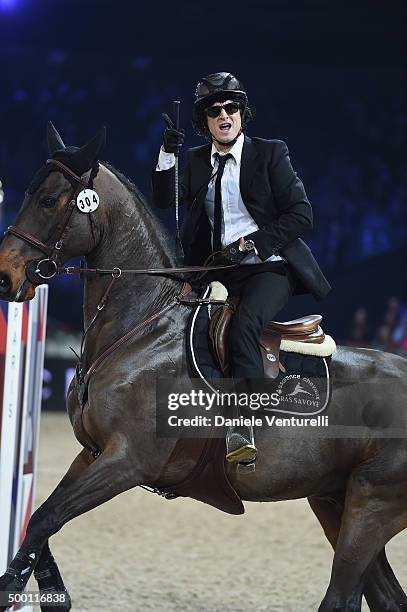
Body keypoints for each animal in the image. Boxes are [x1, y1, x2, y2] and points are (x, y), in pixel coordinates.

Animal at [0, 122, 406, 608]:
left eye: (48, 200)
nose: (5, 276)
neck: (142, 327)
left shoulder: (125, 461)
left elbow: (46, 519)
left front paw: (15, 587)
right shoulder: (91, 453)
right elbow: (37, 524)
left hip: (372, 506)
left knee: (343, 595)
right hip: (335, 501)